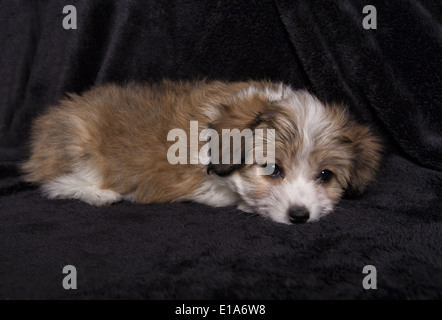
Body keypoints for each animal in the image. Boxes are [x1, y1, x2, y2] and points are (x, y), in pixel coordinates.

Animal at [20, 81, 382, 224]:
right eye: (272, 170)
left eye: (325, 176)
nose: (300, 215)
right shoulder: (192, 181)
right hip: (81, 145)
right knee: (55, 184)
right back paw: (99, 194)